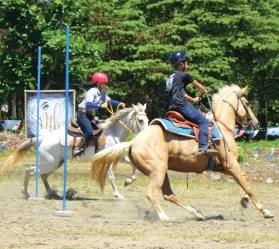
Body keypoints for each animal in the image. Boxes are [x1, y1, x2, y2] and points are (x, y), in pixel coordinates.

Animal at [1, 102, 149, 198]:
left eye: (147, 119)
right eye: (140, 120)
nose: (146, 134)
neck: (112, 133)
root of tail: (43, 138)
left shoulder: (120, 157)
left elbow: (132, 165)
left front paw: (128, 181)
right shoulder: (106, 158)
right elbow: (111, 176)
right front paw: (117, 194)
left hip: (55, 163)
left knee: (42, 175)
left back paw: (52, 193)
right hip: (49, 163)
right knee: (30, 171)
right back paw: (26, 193)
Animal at [91, 85, 274, 220]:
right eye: (247, 103)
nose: (256, 123)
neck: (222, 129)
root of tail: (132, 142)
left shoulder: (223, 166)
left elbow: (244, 178)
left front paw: (244, 201)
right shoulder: (231, 164)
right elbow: (247, 186)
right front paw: (265, 211)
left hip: (162, 171)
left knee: (168, 194)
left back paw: (197, 214)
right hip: (158, 171)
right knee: (153, 194)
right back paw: (164, 217)